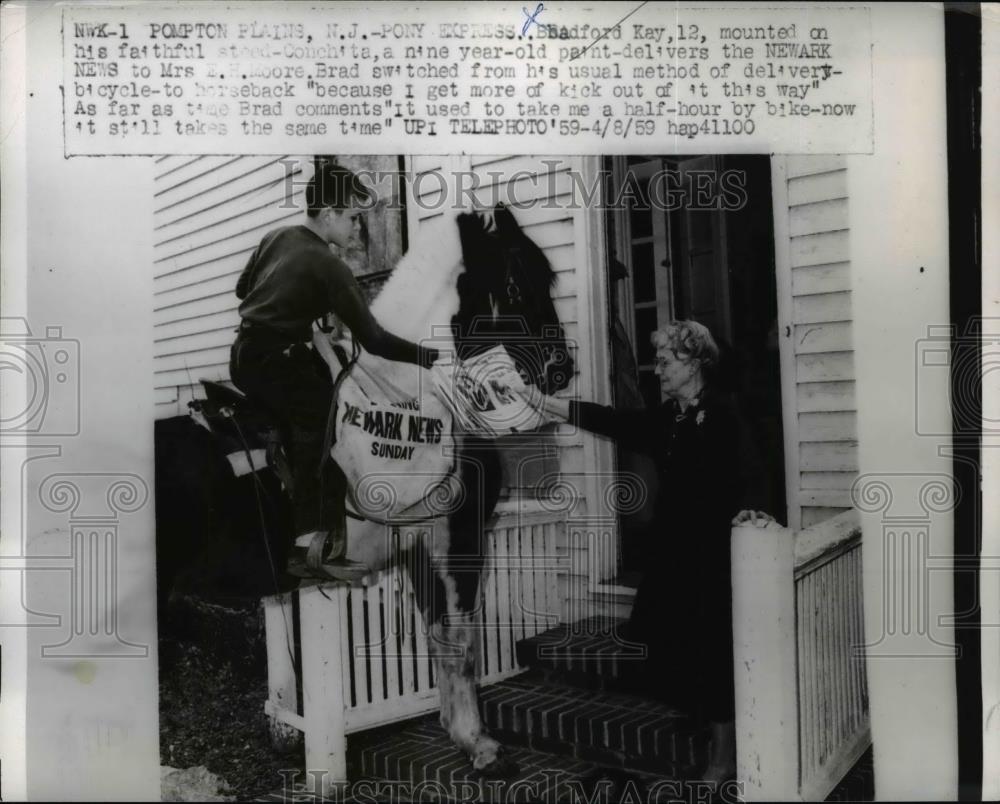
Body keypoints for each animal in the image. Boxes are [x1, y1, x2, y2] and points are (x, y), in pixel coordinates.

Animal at [159, 204, 576, 776]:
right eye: (515, 284)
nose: (562, 369)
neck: (421, 398)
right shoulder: (460, 542)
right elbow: (463, 643)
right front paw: (481, 744)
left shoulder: (423, 549)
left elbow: (441, 639)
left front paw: (460, 734)